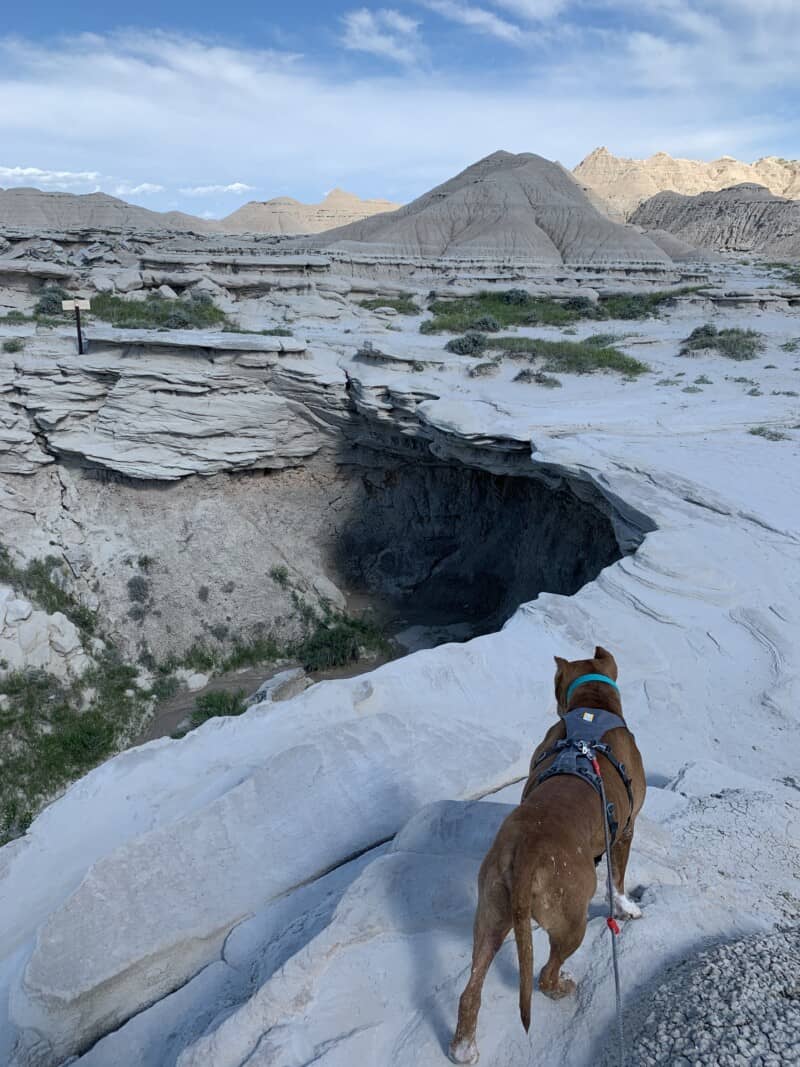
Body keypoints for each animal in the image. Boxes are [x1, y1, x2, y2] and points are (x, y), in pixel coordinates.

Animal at [448, 644, 648, 1062]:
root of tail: (526, 855)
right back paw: (562, 987)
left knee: (471, 989)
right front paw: (628, 909)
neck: (591, 709)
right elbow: (618, 881)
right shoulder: (626, 831)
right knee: (544, 974)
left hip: (491, 913)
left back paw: (463, 1048)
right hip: (571, 921)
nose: (556, 705)